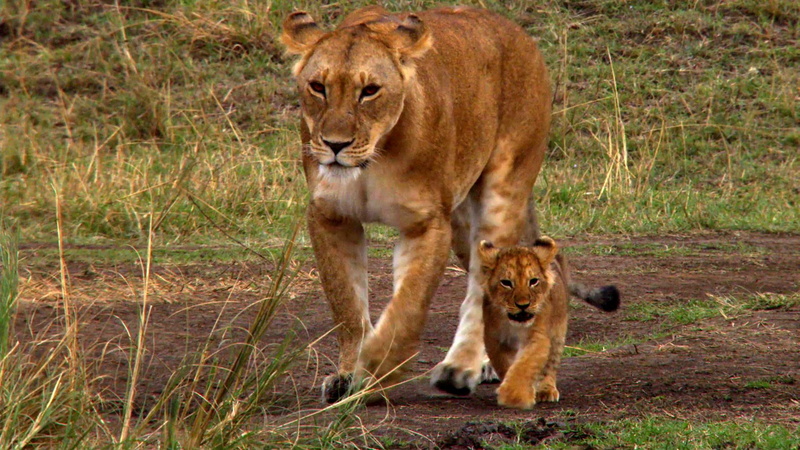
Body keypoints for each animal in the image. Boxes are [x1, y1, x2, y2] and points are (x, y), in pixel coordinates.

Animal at [282, 6, 552, 402]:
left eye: (369, 91)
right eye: (318, 87)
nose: (335, 145)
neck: (373, 159)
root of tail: (517, 32)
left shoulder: (426, 224)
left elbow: (407, 305)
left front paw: (377, 366)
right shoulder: (331, 216)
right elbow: (346, 303)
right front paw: (349, 374)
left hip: (504, 188)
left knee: (484, 284)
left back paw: (462, 368)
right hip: (461, 220)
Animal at [478, 238, 620, 409]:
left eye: (533, 281)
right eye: (506, 282)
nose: (523, 305)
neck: (515, 324)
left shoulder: (538, 336)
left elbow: (525, 365)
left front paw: (515, 396)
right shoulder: (494, 339)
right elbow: (506, 365)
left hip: (558, 331)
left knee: (550, 364)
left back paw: (546, 390)